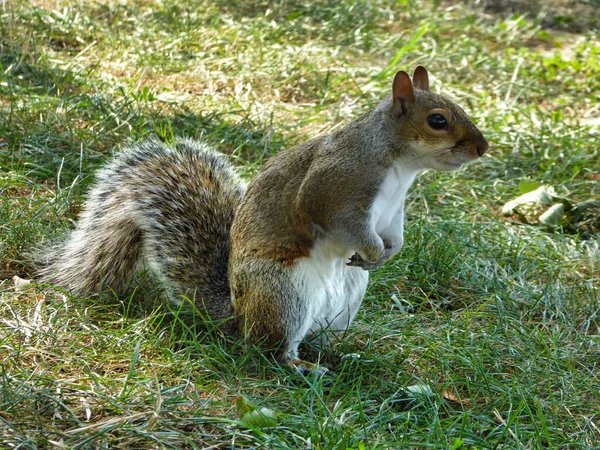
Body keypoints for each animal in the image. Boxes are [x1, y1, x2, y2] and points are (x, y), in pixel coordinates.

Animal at [36, 67, 488, 374]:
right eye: (438, 120)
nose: (482, 148)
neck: (400, 166)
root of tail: (237, 315)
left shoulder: (393, 211)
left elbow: (395, 235)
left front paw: (388, 253)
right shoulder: (336, 188)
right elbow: (345, 223)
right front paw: (374, 251)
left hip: (345, 298)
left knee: (317, 336)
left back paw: (342, 353)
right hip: (282, 291)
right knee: (266, 346)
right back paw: (296, 363)